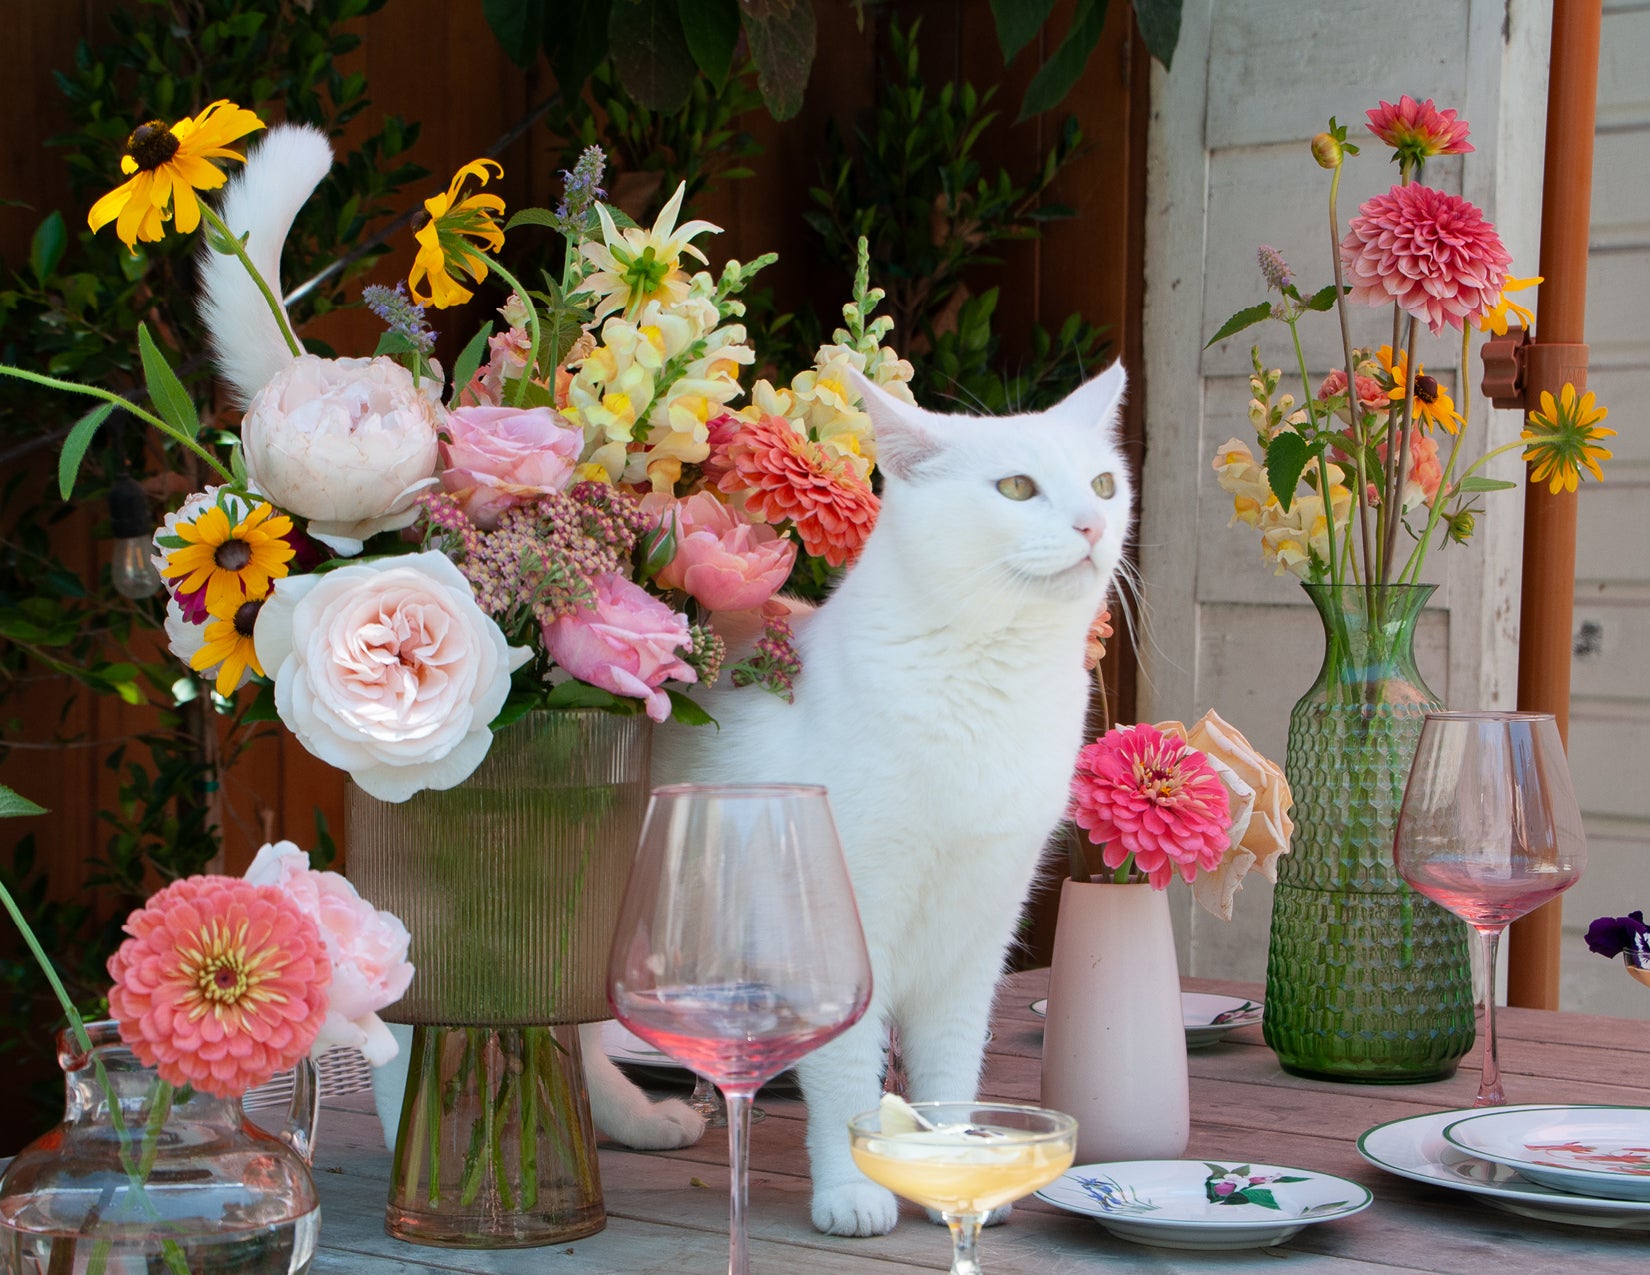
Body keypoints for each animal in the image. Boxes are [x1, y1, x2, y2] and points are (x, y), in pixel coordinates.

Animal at [646, 371, 1135, 1233]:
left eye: (1106, 484)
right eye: (1017, 488)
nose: (1093, 523)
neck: (991, 681)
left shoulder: (979, 930)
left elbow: (952, 1061)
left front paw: (962, 1173)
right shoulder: (840, 930)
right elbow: (848, 1073)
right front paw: (851, 1190)